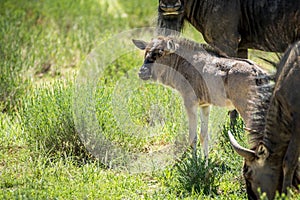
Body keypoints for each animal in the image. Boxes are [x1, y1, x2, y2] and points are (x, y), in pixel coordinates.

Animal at [132, 35, 268, 158]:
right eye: (146, 52)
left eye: (160, 53)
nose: (141, 72)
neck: (183, 63)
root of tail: (258, 72)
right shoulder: (205, 105)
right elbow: (204, 135)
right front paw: (205, 162)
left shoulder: (190, 104)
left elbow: (193, 138)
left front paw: (195, 164)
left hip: (246, 108)